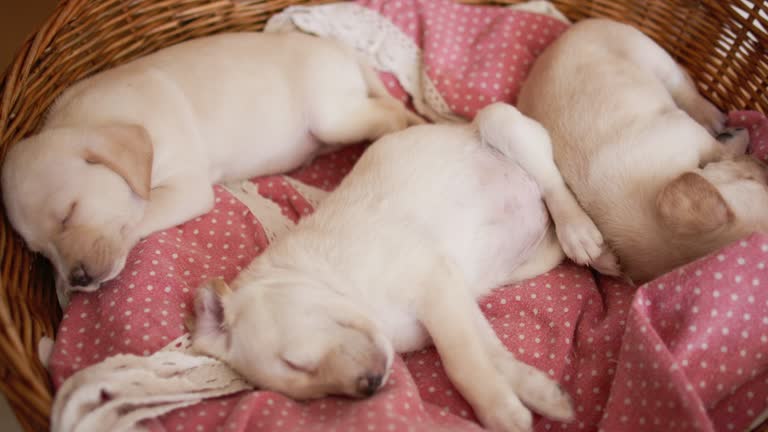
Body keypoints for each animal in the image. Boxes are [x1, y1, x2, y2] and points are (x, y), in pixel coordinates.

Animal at [190, 103, 612, 430]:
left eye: (295, 362)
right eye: (314, 394)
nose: (372, 386)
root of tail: (459, 124)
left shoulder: (433, 284)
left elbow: (460, 362)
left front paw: (497, 412)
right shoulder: (452, 295)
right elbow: (491, 354)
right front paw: (538, 394)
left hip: (501, 121)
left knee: (554, 184)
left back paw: (583, 235)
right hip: (523, 264)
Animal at [516, 18, 768, 284]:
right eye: (752, 179)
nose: (763, 163)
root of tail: (572, 30)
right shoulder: (686, 130)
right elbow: (720, 149)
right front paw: (737, 141)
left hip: (650, 54)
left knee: (680, 82)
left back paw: (709, 114)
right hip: (648, 53)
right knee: (681, 85)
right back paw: (712, 117)